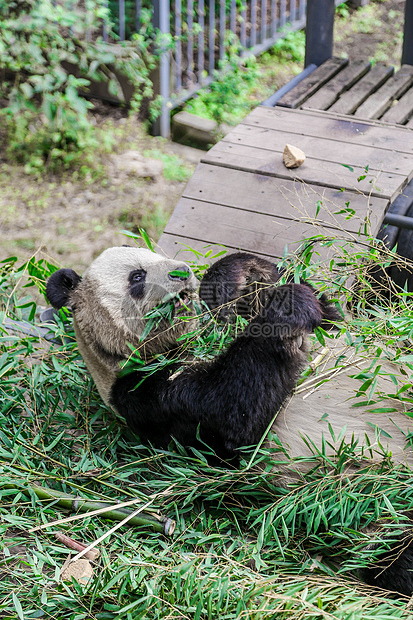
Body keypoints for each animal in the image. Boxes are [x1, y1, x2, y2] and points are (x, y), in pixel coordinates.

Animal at [45, 246, 413, 596]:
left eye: (158, 254)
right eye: (137, 276)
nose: (183, 272)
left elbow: (332, 316)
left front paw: (234, 277)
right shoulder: (142, 396)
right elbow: (234, 419)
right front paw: (287, 308)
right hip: (365, 503)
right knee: (394, 550)